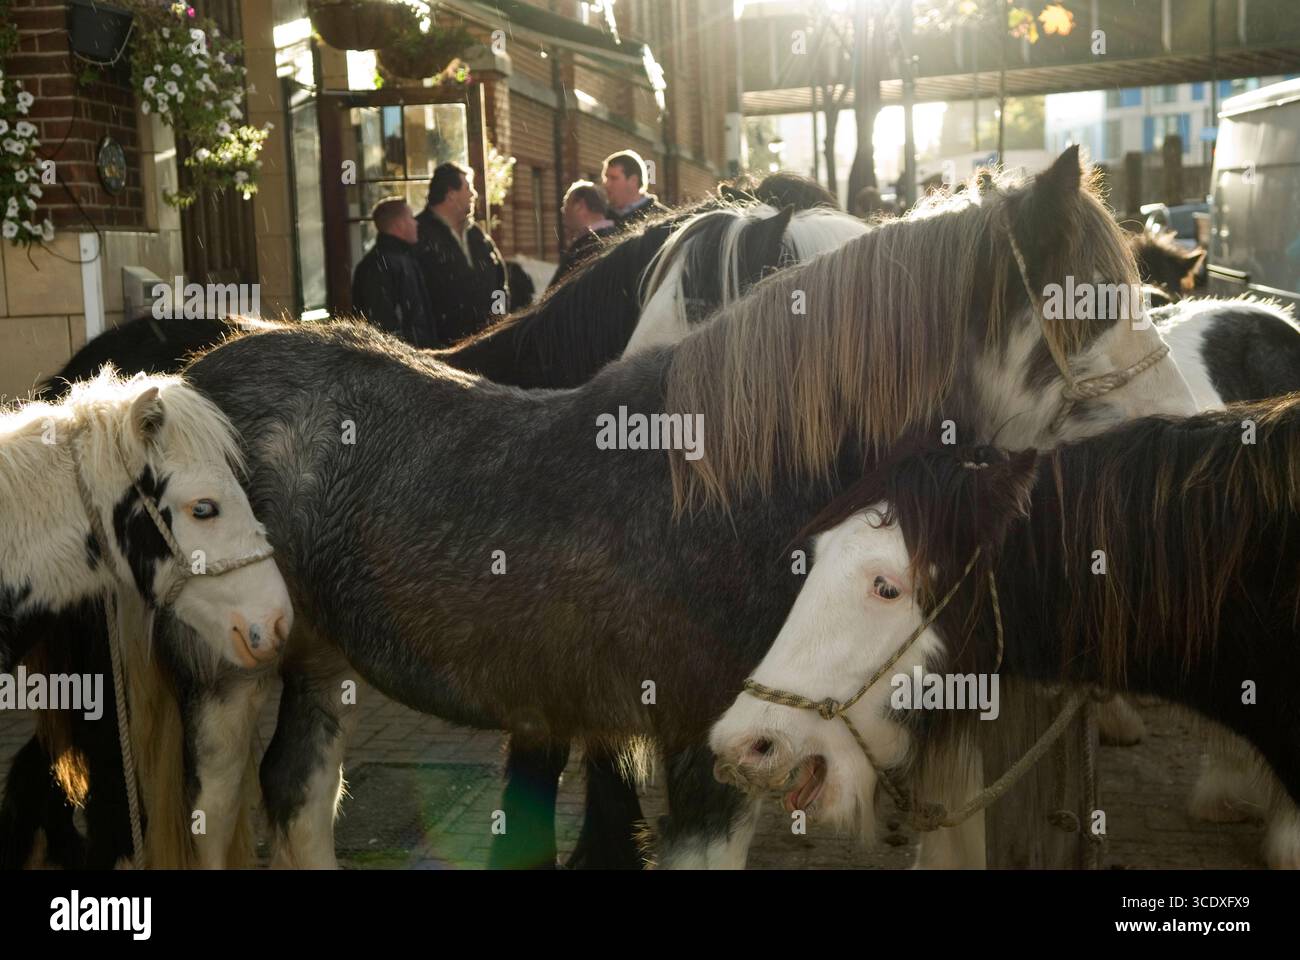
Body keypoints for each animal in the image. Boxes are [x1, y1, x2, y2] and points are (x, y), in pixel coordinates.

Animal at [169, 146, 1197, 870]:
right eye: (1091, 306)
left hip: (315, 656)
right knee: (218, 802)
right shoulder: (707, 766)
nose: (1192, 434)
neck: (730, 497)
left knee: (298, 795)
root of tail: (196, 375)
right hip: (224, 674)